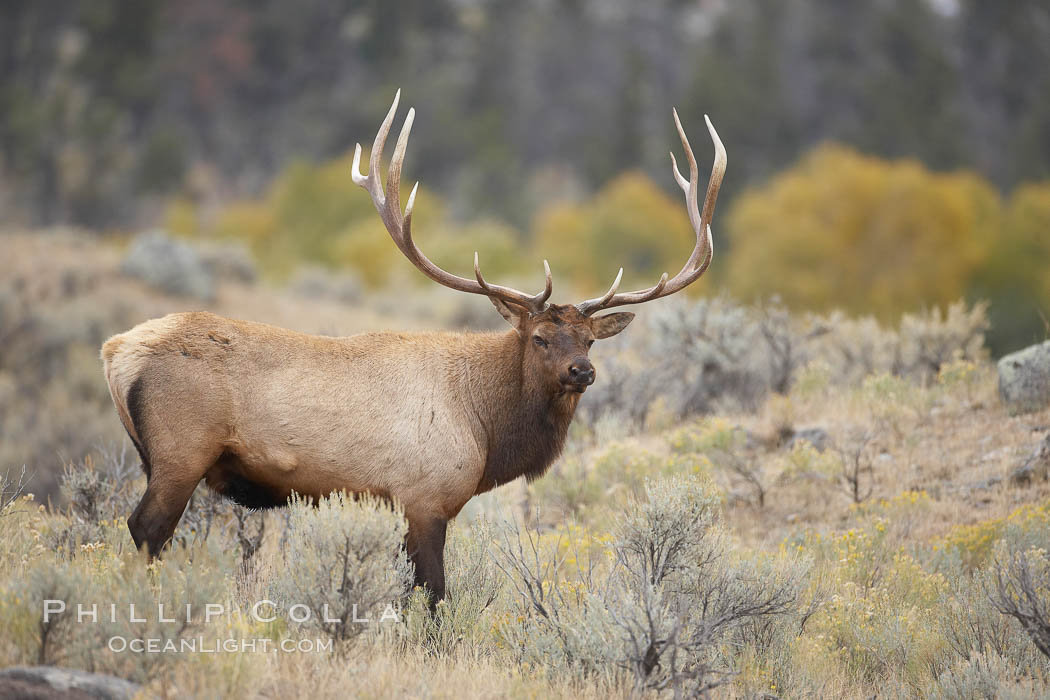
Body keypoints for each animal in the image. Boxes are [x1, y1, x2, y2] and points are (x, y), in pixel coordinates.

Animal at [100, 92, 722, 604]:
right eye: (540, 337)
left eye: (591, 338)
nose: (581, 371)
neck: (485, 426)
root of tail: (115, 352)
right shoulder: (425, 496)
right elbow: (433, 595)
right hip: (182, 452)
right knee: (145, 530)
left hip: (155, 455)